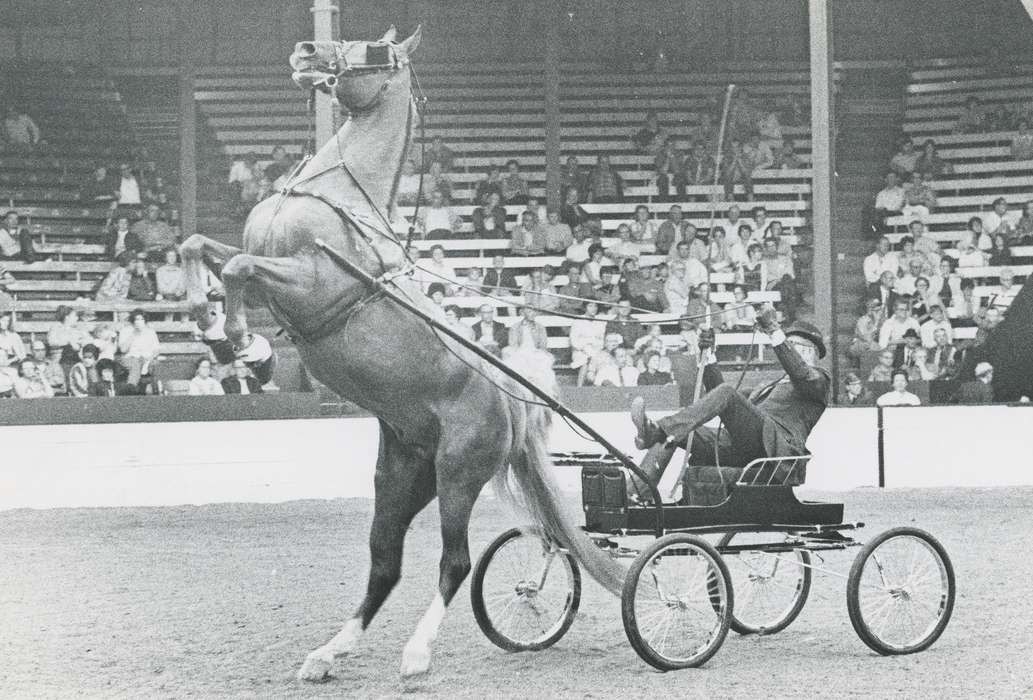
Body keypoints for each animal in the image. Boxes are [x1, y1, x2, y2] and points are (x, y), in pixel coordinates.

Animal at [178, 26, 624, 681]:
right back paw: (328, 653)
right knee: (384, 563)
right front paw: (215, 328)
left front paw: (246, 347)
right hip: (401, 479)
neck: (335, 195)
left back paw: (416, 653)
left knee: (454, 562)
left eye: (369, 48)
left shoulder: (310, 282)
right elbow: (198, 247)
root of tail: (512, 404)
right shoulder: (263, 270)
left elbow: (235, 268)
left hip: (459, 474)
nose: (306, 51)